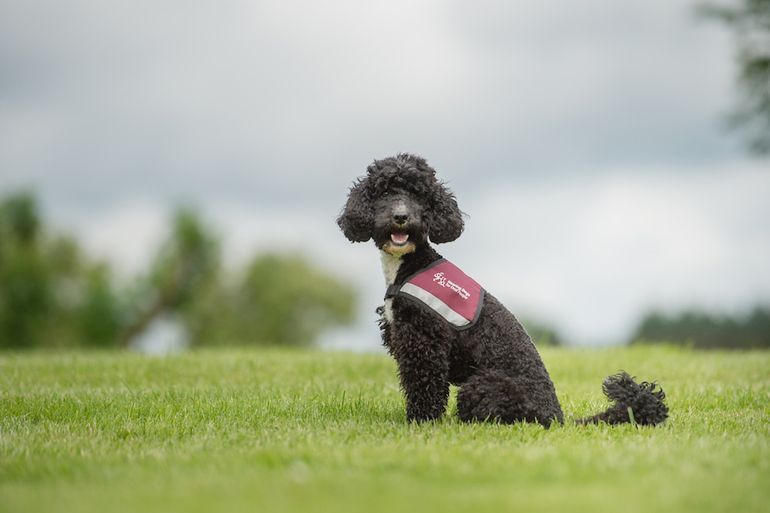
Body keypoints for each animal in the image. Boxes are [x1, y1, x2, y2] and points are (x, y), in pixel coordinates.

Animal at [336, 154, 664, 426]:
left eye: (419, 194)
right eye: (385, 192)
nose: (401, 217)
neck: (410, 264)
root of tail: (558, 417)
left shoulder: (424, 345)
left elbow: (425, 389)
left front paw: (420, 422)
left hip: (480, 385)